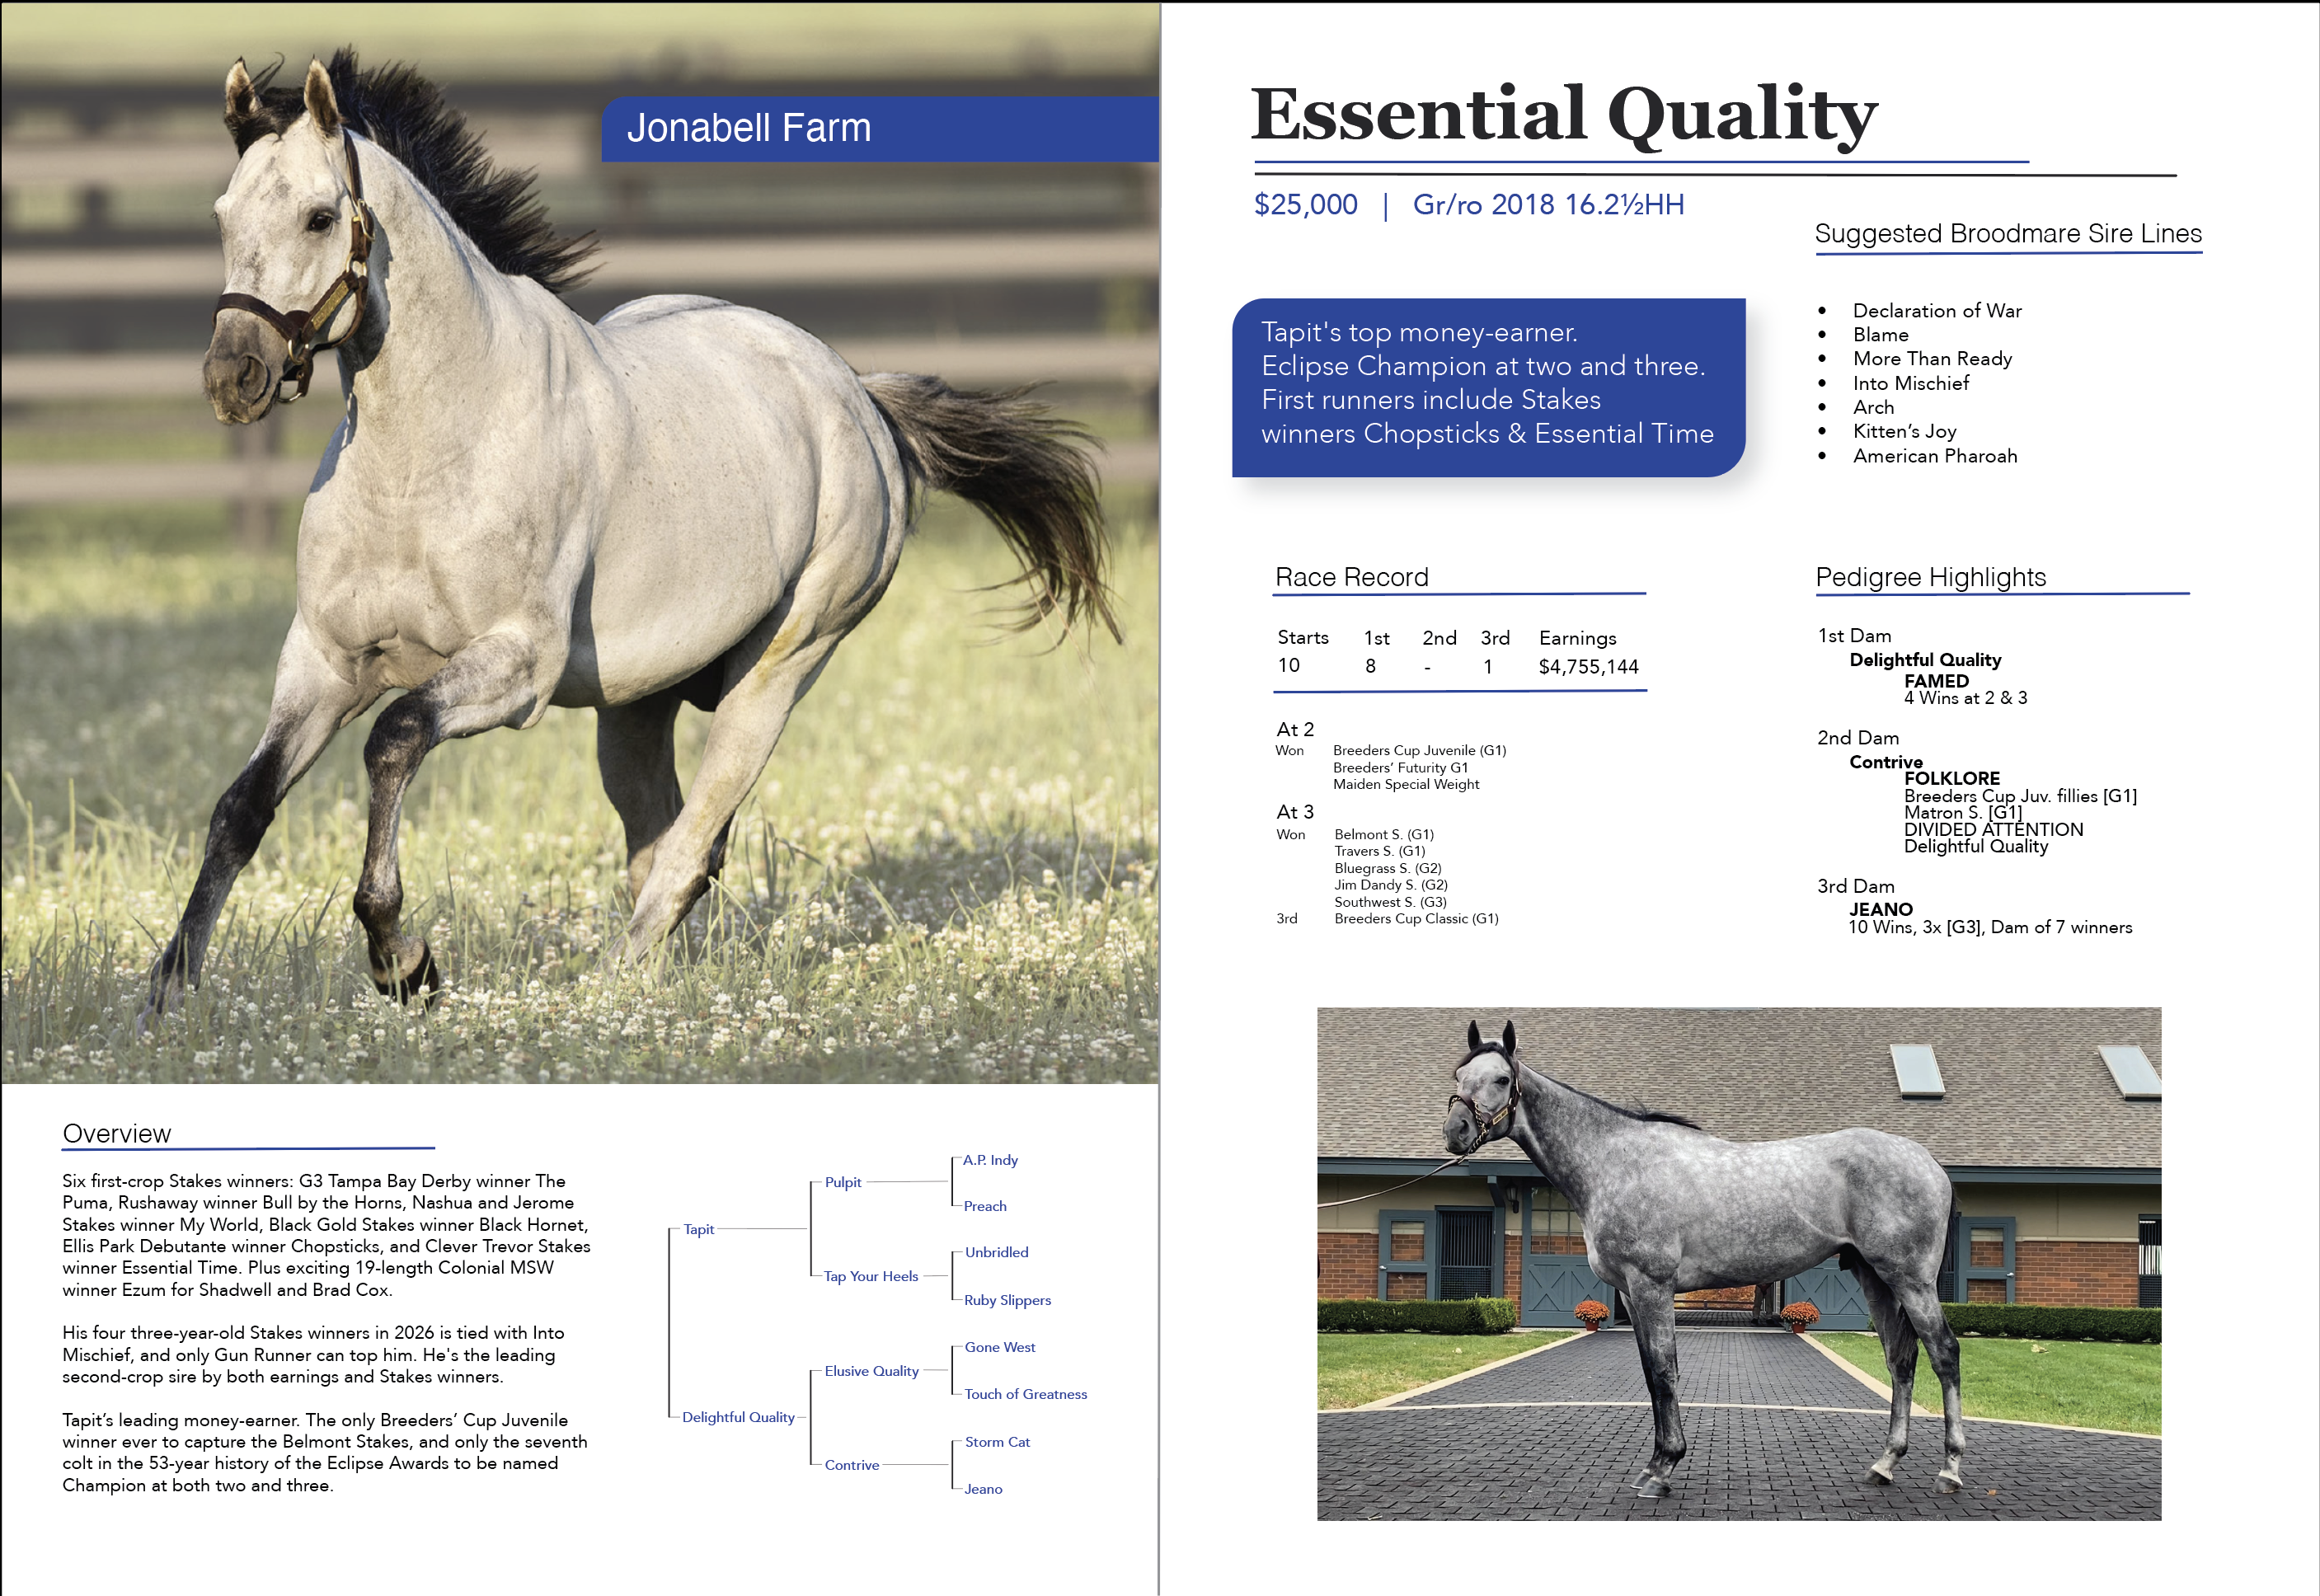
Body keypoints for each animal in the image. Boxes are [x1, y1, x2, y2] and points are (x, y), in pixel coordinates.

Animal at [142, 52, 1115, 1023]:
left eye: (317, 215)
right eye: (223, 216)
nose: (234, 376)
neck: (428, 456)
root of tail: (857, 393)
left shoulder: (517, 668)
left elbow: (395, 736)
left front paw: (402, 961)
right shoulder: (324, 660)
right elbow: (242, 808)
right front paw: (168, 989)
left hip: (782, 668)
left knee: (689, 848)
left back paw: (608, 991)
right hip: (637, 705)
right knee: (664, 837)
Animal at [1444, 1020, 1966, 1498]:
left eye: (1502, 1079)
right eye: (1459, 1074)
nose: (1455, 1131)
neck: (1615, 1162)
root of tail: (1931, 1166)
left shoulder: (1651, 1285)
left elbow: (1663, 1370)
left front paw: (1662, 1468)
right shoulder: (1630, 1295)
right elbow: (1651, 1374)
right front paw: (1657, 1462)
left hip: (1911, 1280)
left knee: (1944, 1353)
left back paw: (1950, 1469)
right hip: (1874, 1276)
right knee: (1901, 1358)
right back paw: (1885, 1464)